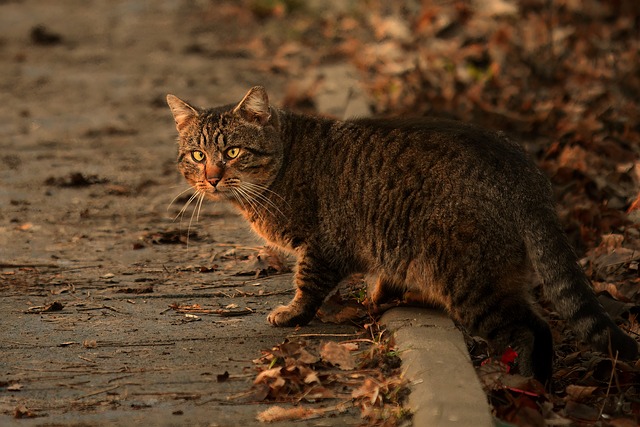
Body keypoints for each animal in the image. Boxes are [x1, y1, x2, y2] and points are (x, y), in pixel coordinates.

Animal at [168, 86, 636, 382]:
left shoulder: (324, 244)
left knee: (535, 329)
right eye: (198, 155)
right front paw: (381, 294)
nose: (212, 178)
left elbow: (307, 283)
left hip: (473, 284)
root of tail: (527, 173)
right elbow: (381, 276)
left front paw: (293, 312)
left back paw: (531, 384)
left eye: (232, 152)